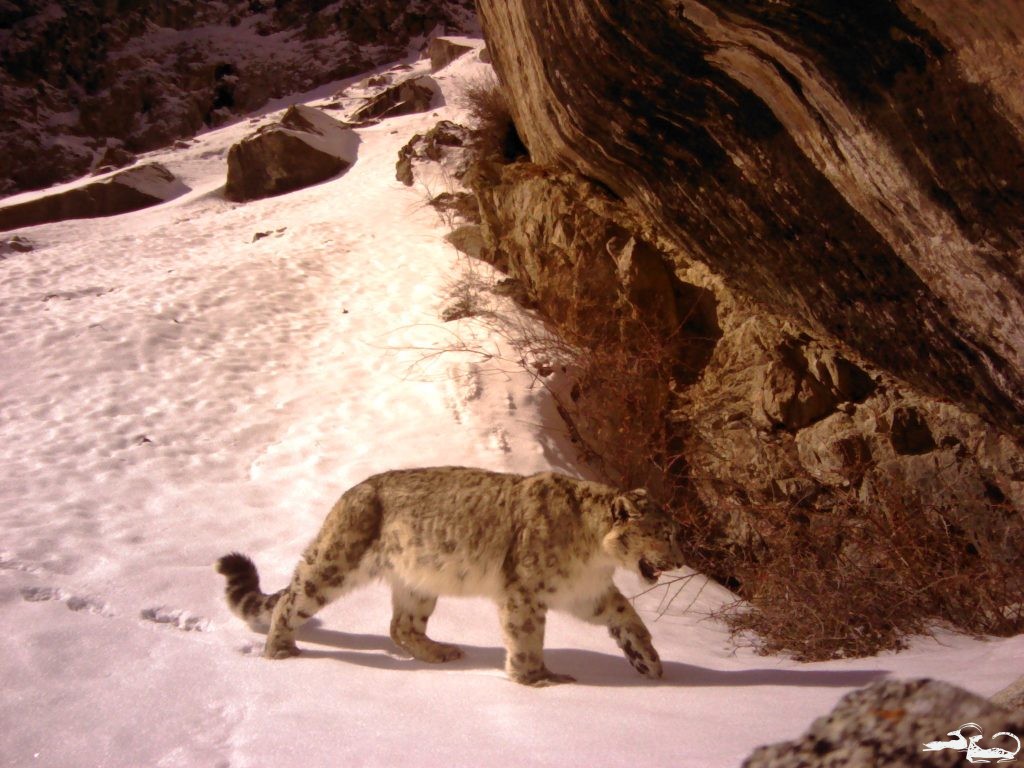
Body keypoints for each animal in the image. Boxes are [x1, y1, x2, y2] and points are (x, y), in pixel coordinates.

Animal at [216, 466, 684, 688]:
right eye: (663, 533)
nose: (680, 561)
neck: (595, 560)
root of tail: (348, 494)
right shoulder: (525, 592)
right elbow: (527, 637)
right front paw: (538, 680)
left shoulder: (588, 593)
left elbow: (627, 617)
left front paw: (649, 662)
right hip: (335, 563)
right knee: (292, 597)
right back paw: (280, 651)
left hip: (419, 583)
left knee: (401, 626)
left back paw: (441, 652)